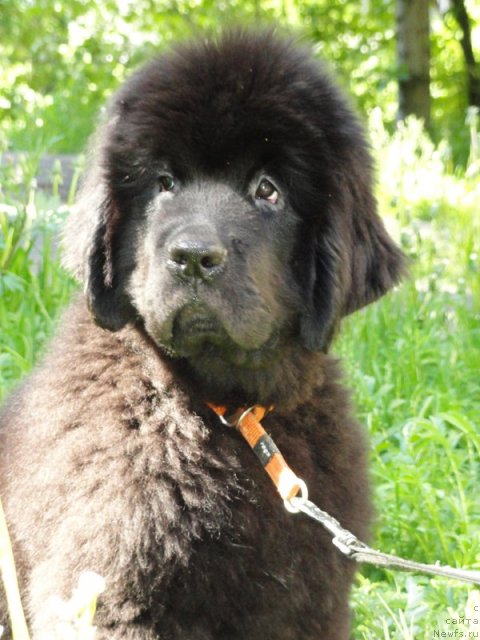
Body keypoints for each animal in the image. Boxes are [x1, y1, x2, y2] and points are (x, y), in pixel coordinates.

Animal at [0, 30, 404, 640]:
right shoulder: (115, 598)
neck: (225, 413)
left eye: (268, 190)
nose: (192, 256)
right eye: (164, 183)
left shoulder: (311, 603)